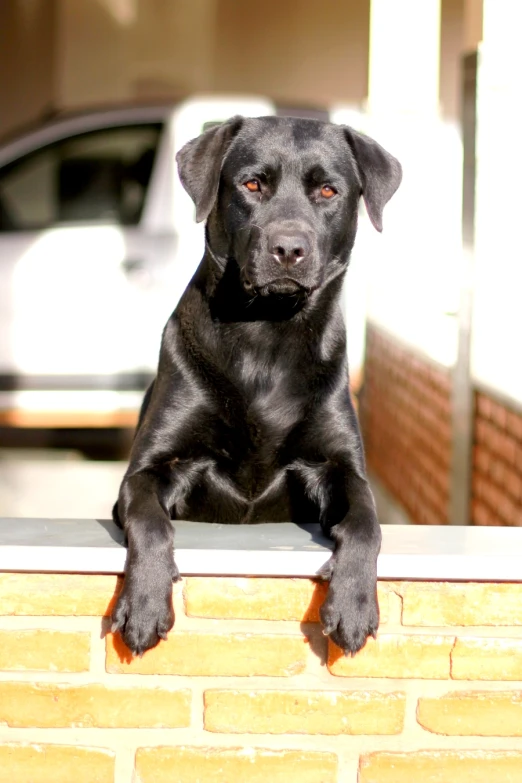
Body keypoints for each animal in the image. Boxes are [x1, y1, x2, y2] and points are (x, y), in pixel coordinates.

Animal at [111, 113, 400, 660]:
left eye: (328, 190)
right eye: (251, 185)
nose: (288, 249)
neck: (266, 335)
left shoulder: (339, 468)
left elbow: (366, 522)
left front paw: (353, 605)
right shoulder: (149, 471)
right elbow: (149, 520)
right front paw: (144, 605)